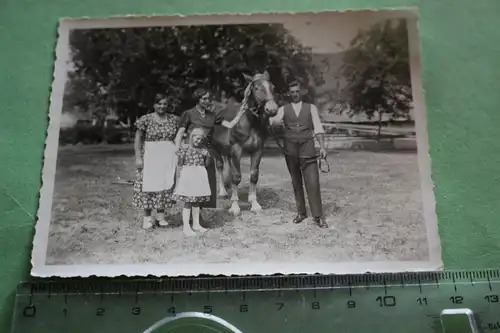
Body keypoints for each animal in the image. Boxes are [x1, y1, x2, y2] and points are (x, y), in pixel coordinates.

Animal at [211, 70, 280, 215]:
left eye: (273, 87)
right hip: (213, 149)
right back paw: (223, 192)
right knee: (219, 166)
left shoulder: (258, 150)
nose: (272, 109)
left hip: (226, 151)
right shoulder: (236, 150)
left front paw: (254, 204)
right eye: (256, 88)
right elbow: (236, 177)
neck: (250, 122)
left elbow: (253, 176)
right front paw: (235, 207)